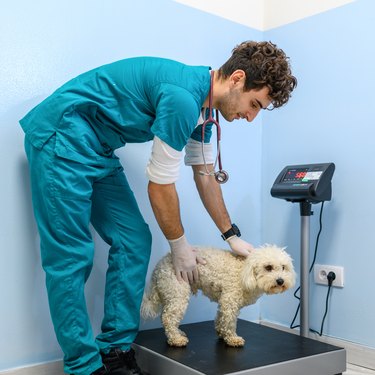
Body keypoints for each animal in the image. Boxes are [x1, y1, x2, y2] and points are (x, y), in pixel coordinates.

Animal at [141, 245, 296, 348]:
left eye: (283, 267)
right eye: (268, 267)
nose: (280, 281)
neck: (244, 271)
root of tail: (158, 268)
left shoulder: (224, 301)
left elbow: (220, 317)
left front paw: (221, 333)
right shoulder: (230, 300)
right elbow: (229, 322)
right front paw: (232, 338)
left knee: (168, 317)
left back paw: (178, 333)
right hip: (177, 292)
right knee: (168, 317)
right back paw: (176, 339)